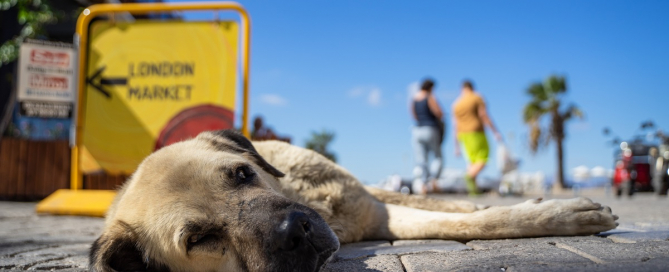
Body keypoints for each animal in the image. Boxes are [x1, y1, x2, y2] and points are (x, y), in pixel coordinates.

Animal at [88, 129, 616, 270]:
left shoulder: (376, 210)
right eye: (199, 239)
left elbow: (473, 221)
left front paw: (566, 212)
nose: (297, 231)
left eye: (242, 174)